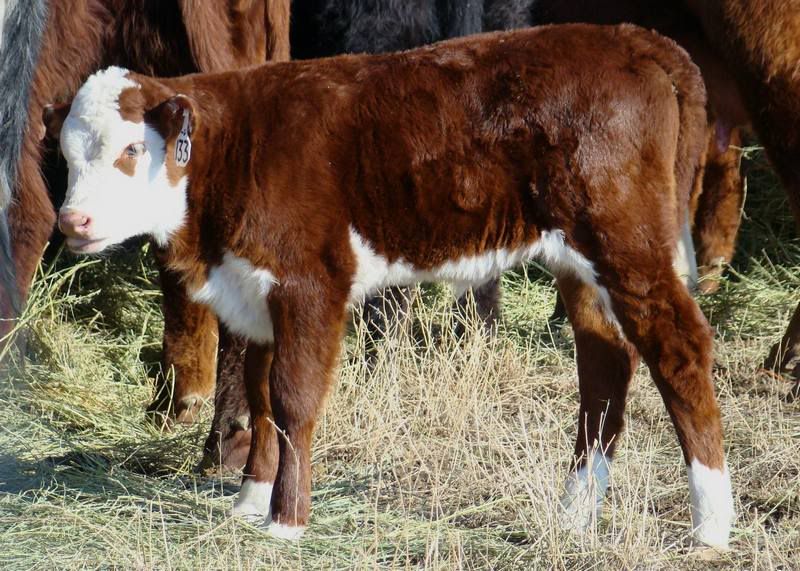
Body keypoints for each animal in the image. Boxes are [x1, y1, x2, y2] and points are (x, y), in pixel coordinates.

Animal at [45, 24, 734, 548]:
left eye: (133, 149)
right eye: (68, 156)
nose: (74, 222)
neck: (233, 152)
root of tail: (635, 38)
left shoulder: (310, 282)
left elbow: (293, 400)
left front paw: (286, 522)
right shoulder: (255, 289)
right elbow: (260, 397)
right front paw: (249, 501)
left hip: (624, 237)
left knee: (680, 346)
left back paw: (711, 525)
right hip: (577, 256)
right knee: (605, 362)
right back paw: (572, 513)